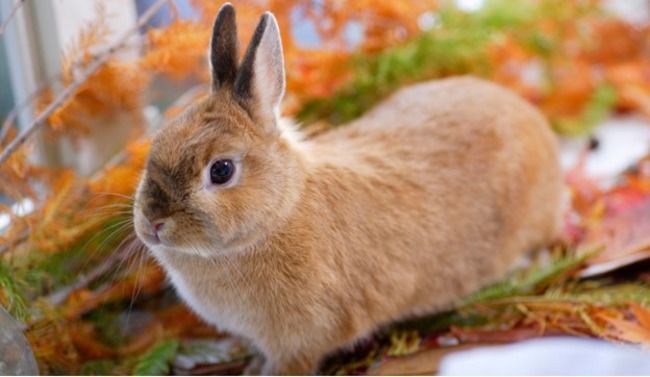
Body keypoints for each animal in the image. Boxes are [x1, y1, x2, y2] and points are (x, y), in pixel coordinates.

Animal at [132, 2, 560, 374]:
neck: (281, 211)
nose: (153, 223)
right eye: (158, 141)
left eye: (220, 171)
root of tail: (531, 119)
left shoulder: (300, 340)